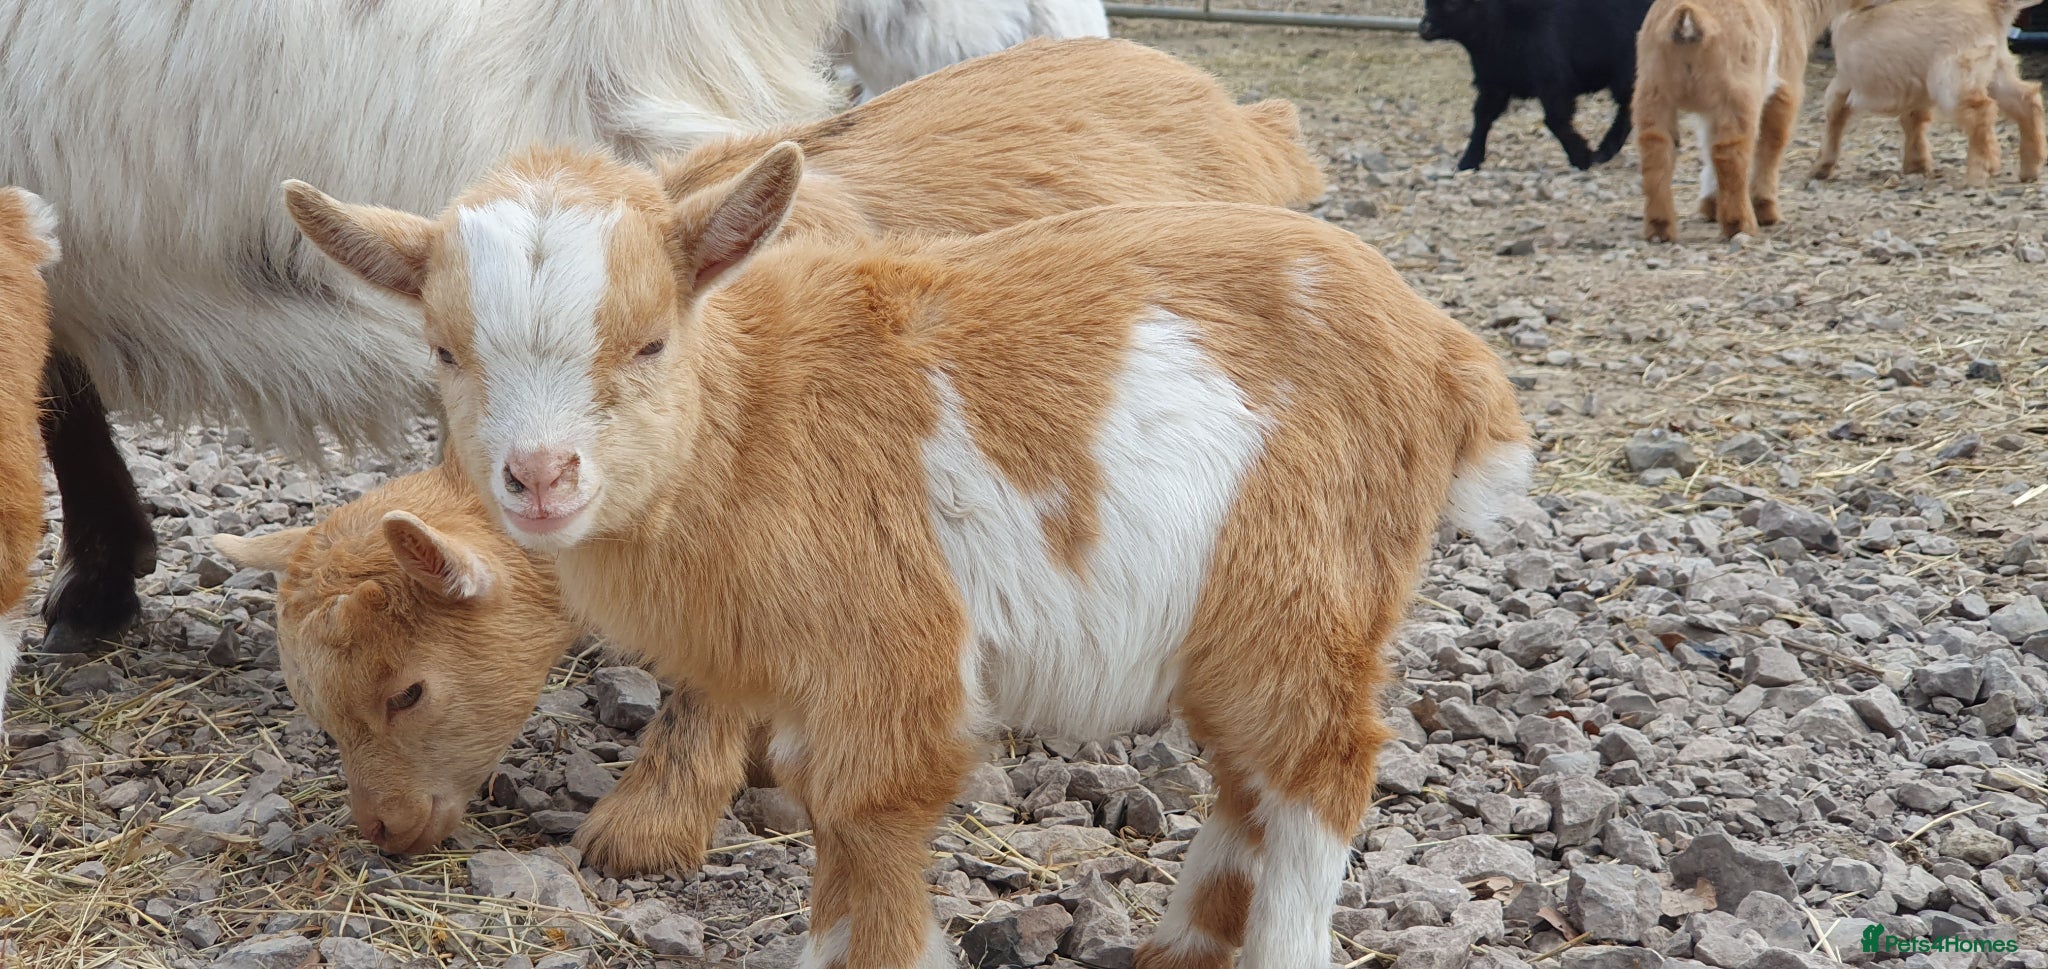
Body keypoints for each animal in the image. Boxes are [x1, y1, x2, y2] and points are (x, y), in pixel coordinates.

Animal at [284, 144, 1531, 968]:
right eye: (445, 352)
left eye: (648, 342)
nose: (540, 478)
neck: (747, 426)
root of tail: (1441, 349)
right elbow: (832, 820)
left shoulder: (891, 647)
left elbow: (870, 814)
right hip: (1239, 609)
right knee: (1246, 772)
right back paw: (1181, 944)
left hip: (1307, 580)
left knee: (1318, 763)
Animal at [1420, 0, 1656, 170]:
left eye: (1453, 4)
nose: (1424, 28)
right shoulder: (1494, 82)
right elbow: (1482, 117)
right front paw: (1469, 160)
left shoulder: (1552, 80)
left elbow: (1555, 120)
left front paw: (1581, 157)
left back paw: (1604, 151)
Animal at [1633, 0, 1858, 240]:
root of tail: (1689, 19)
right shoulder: (1785, 87)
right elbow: (1773, 143)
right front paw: (1766, 210)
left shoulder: (1710, 111)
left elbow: (1706, 144)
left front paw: (1711, 205)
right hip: (1738, 93)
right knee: (1730, 153)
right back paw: (1741, 224)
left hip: (1652, 89)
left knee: (1656, 149)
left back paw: (1659, 228)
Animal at [1809, 0, 2045, 185]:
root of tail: (1992, 9)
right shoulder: (1916, 90)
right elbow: (1914, 120)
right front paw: (1917, 164)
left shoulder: (1845, 81)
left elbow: (1834, 114)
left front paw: (1821, 166)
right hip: (1997, 72)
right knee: (2027, 100)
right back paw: (2030, 168)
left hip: (1952, 79)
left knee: (1981, 112)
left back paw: (1978, 172)